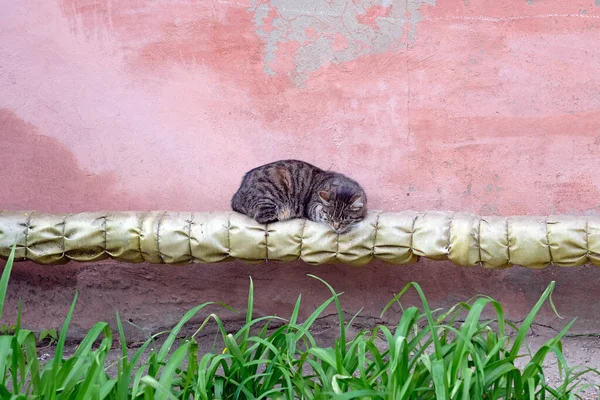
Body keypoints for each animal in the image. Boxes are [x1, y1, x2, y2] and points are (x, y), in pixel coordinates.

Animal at [232, 160, 368, 234]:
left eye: (345, 219)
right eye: (330, 216)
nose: (336, 227)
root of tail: (236, 195)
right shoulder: (313, 206)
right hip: (269, 200)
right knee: (263, 218)